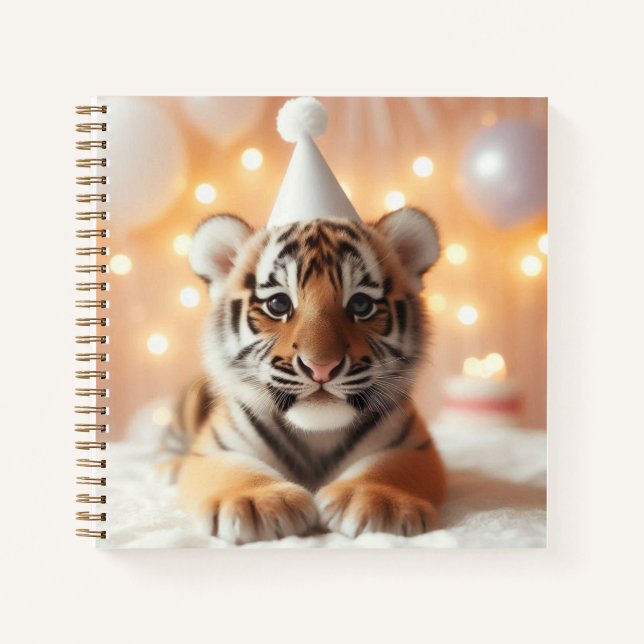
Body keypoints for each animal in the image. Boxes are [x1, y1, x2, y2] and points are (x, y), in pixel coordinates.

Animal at [170, 206, 446, 544]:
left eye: (361, 304)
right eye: (278, 304)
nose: (321, 366)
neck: (317, 436)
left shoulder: (411, 445)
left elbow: (387, 467)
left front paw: (378, 500)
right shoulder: (214, 448)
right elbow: (235, 470)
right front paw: (257, 502)